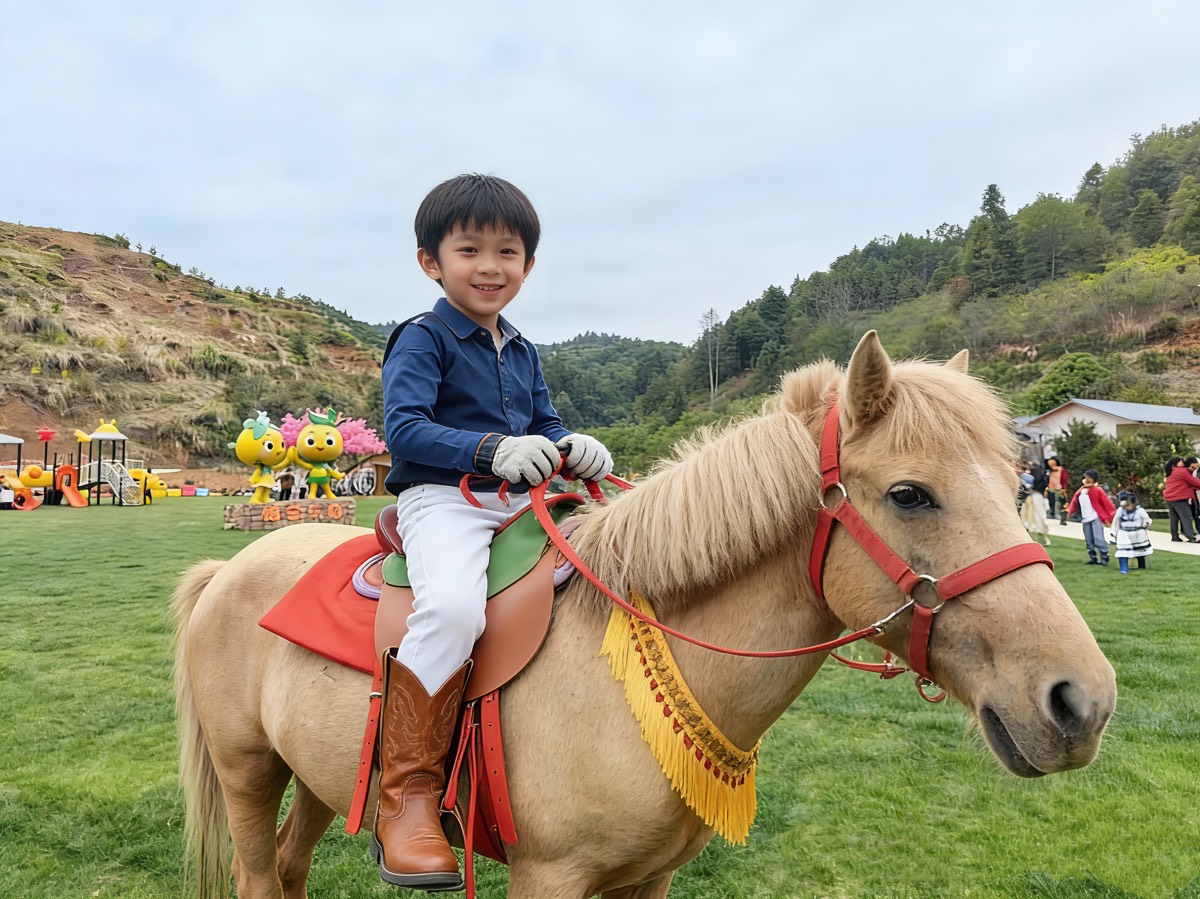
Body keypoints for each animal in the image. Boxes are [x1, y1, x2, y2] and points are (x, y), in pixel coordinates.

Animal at [173, 332, 1116, 899]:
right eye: (911, 493)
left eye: (1014, 481)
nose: (1082, 702)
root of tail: (231, 567)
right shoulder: (548, 876)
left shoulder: (646, 880)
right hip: (248, 770)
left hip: (321, 779)